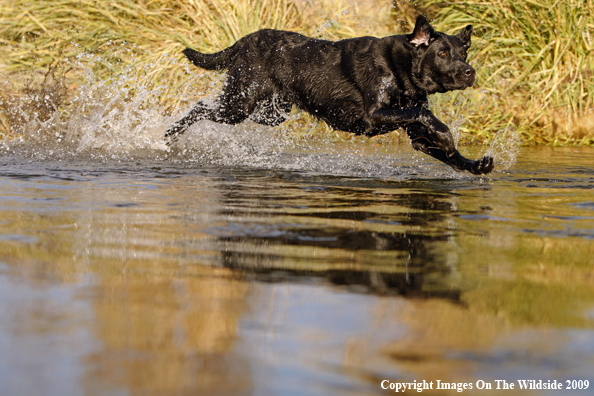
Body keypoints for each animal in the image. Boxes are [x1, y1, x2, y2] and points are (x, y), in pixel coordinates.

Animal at [164, 15, 492, 173]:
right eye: (443, 53)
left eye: (463, 52)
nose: (469, 72)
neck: (402, 69)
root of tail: (242, 41)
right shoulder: (374, 116)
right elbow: (422, 113)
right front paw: (446, 135)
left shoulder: (415, 136)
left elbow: (442, 148)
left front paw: (475, 165)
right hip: (239, 104)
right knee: (199, 107)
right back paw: (168, 136)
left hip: (270, 113)